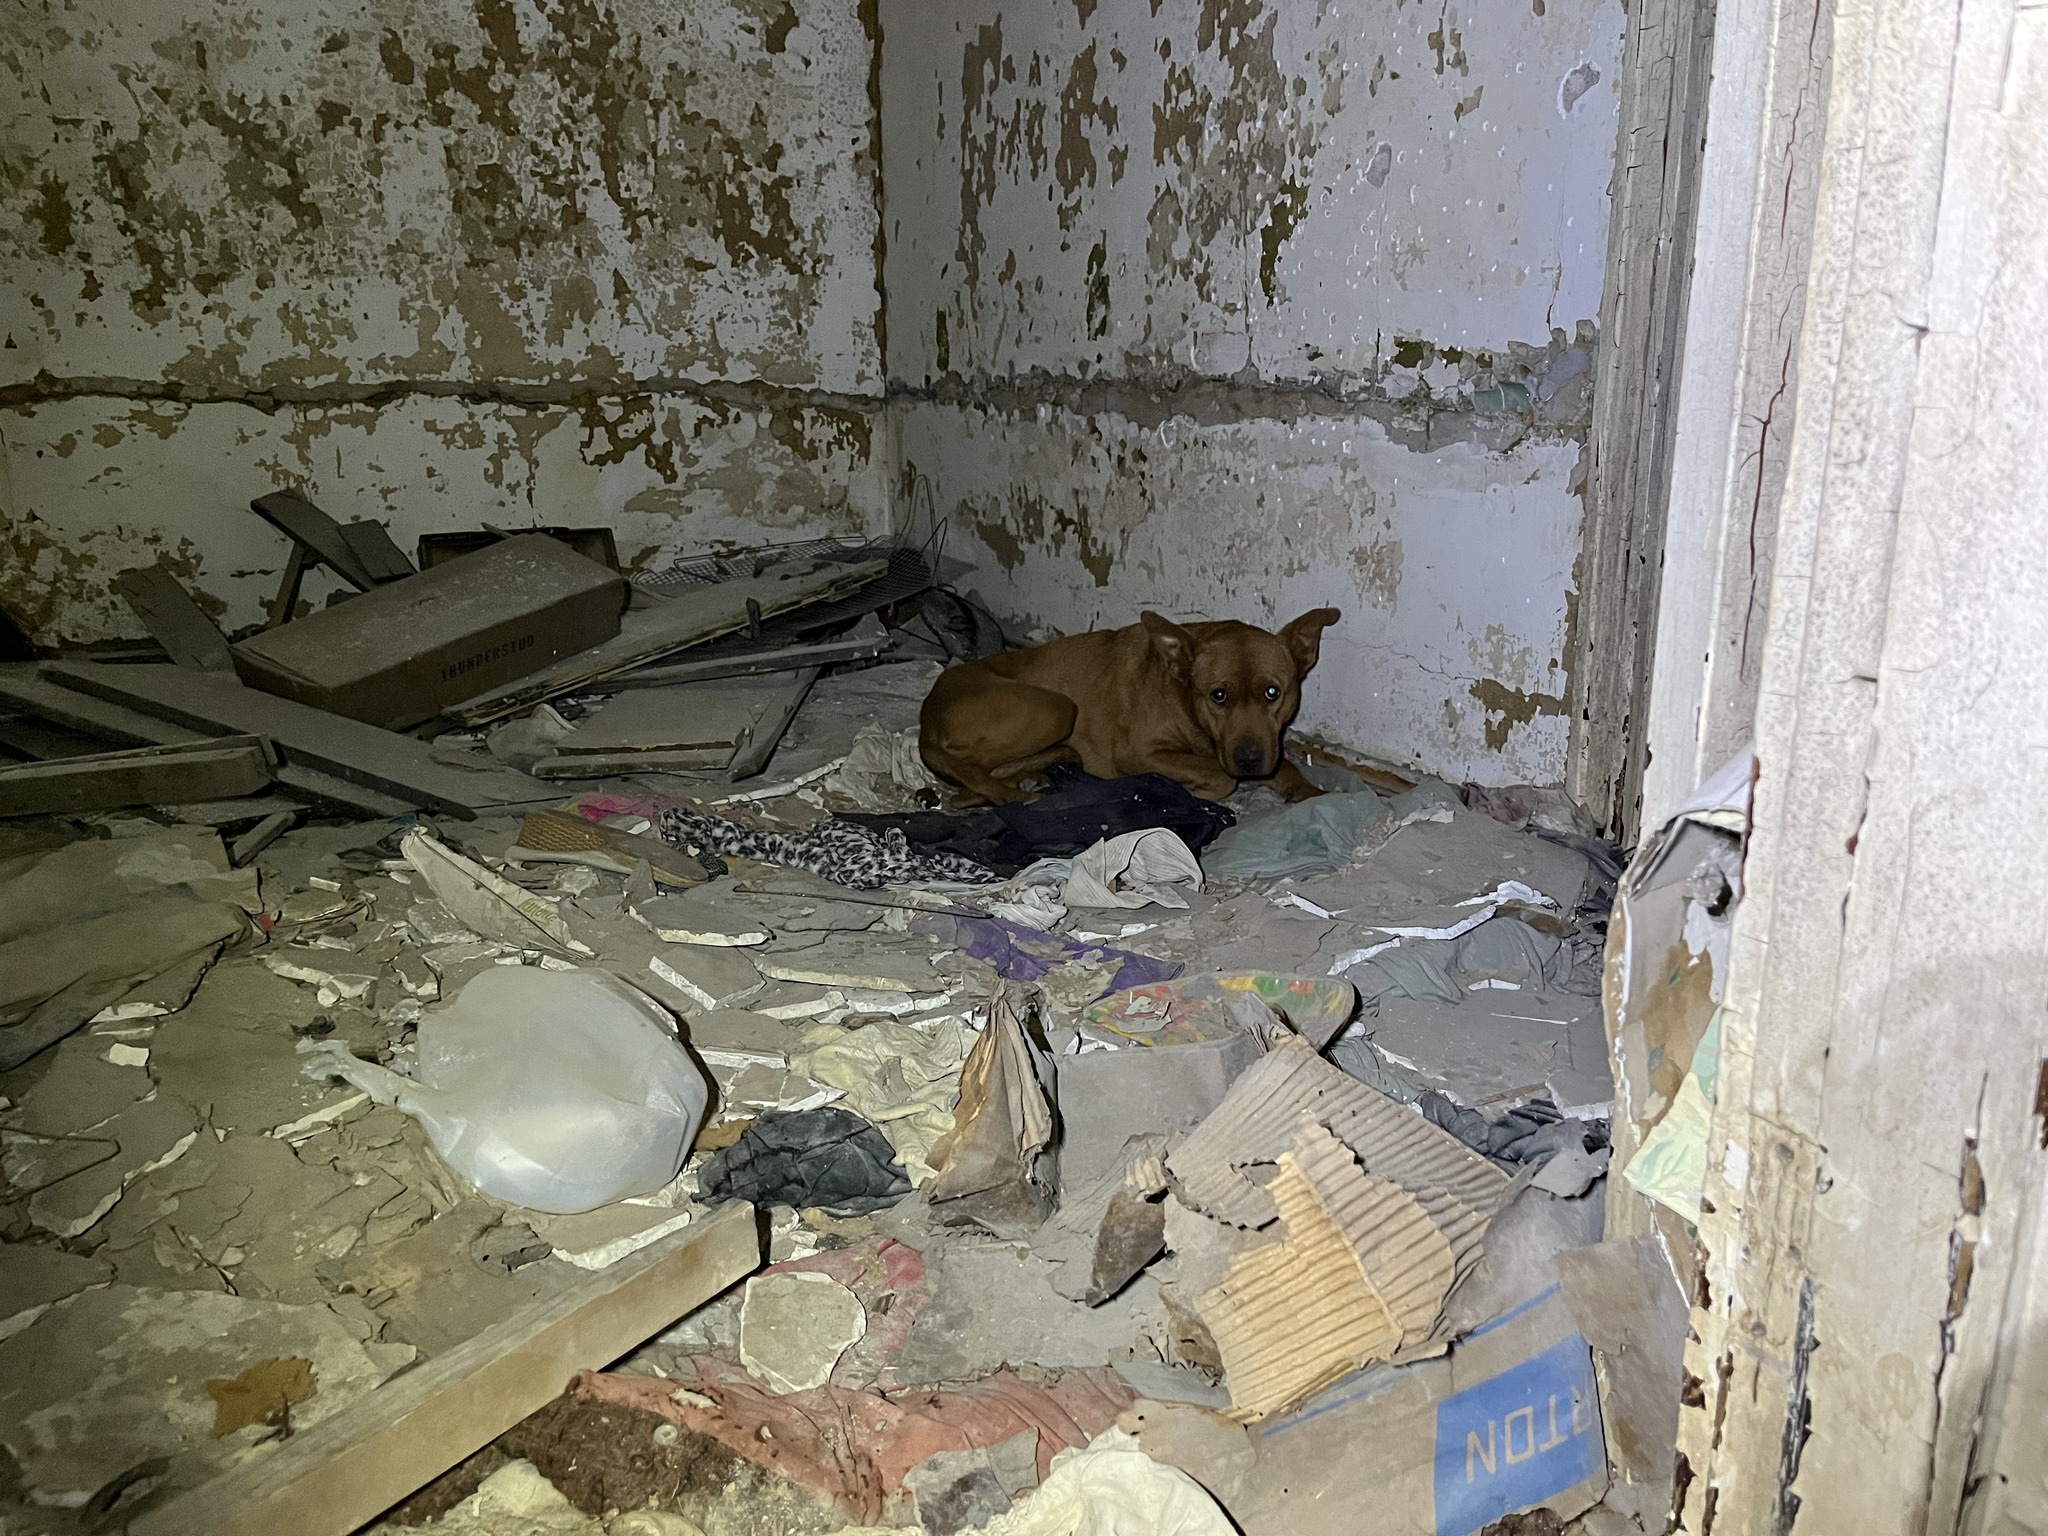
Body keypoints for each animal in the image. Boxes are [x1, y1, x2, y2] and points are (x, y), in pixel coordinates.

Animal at [917, 610, 1335, 811]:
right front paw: (1195, 788)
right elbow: (1219, 776)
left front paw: (1306, 789)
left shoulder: (1265, 743)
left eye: (1272, 692)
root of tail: (927, 721)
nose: (1248, 760)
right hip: (1057, 708)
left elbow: (1283, 763)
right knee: (969, 777)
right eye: (1218, 696)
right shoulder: (1138, 754)